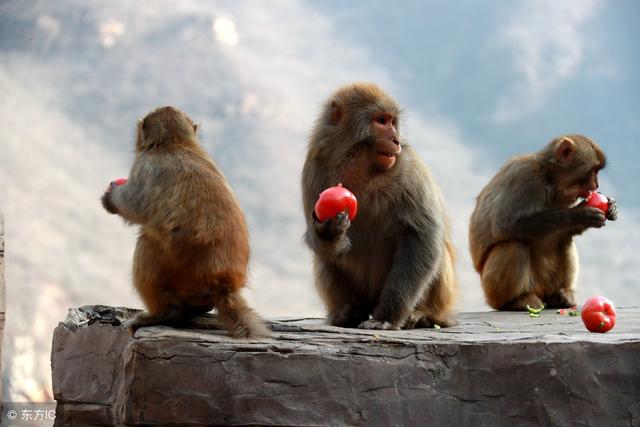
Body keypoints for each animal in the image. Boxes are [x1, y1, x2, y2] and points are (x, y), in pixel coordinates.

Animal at [100, 106, 270, 338]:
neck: (177, 142)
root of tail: (223, 283)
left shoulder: (144, 167)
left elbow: (133, 203)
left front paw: (111, 198)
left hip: (176, 270)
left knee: (146, 244)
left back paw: (161, 314)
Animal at [302, 83, 458, 332]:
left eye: (393, 122)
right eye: (381, 121)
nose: (395, 140)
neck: (361, 164)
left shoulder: (411, 166)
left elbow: (422, 236)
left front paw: (387, 317)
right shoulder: (315, 166)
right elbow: (319, 239)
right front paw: (328, 231)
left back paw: (425, 315)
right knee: (325, 259)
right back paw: (347, 313)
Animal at [468, 135, 616, 312]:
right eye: (593, 170)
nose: (597, 185)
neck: (549, 179)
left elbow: (566, 232)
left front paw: (611, 208)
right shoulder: (524, 175)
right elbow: (505, 224)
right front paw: (579, 214)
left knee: (564, 240)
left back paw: (562, 295)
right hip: (492, 290)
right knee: (514, 244)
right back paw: (515, 301)